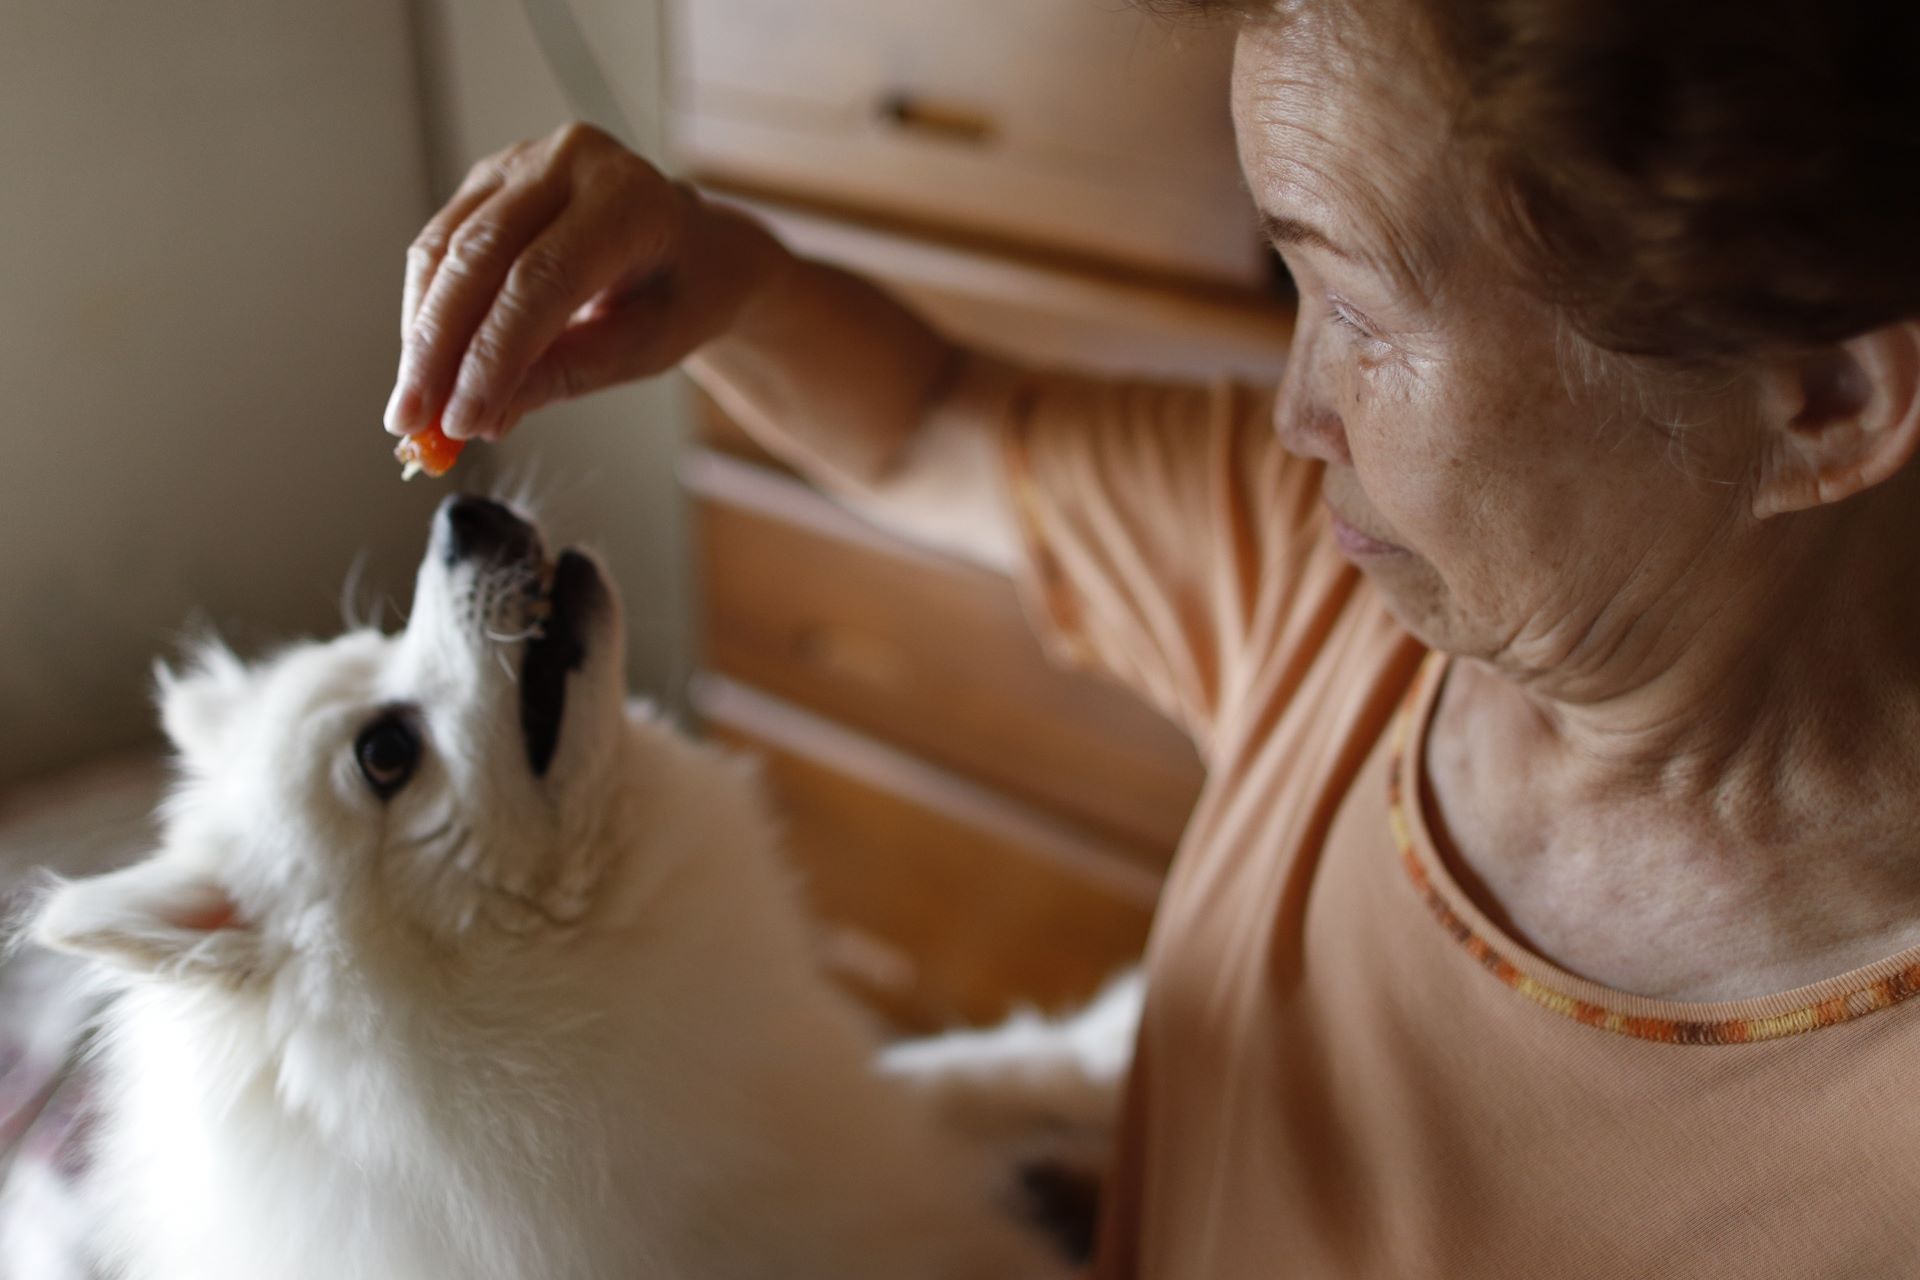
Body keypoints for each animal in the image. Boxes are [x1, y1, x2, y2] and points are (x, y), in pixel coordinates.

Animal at [22, 498, 1128, 1280]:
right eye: (385, 755)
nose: (463, 511)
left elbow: (982, 1069)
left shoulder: (838, 1097)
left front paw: (1114, 1047)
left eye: (377, 641)